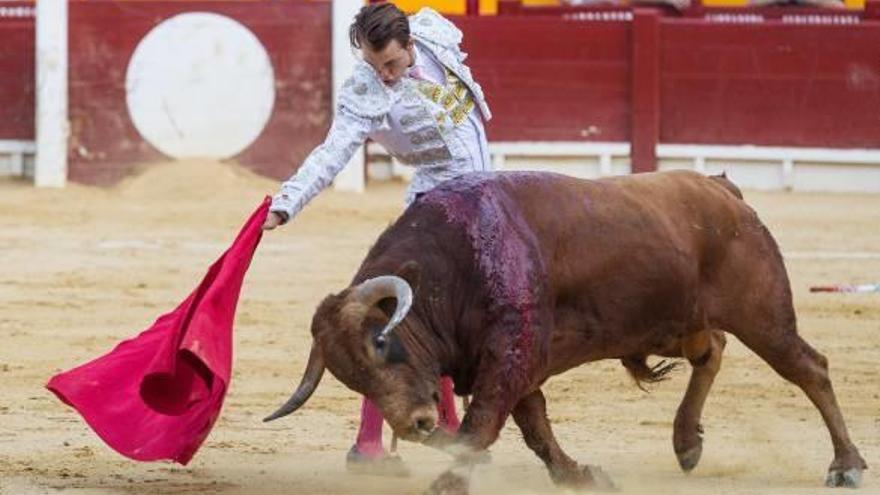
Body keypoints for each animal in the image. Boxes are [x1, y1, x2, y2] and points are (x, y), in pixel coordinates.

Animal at [262, 170, 868, 492]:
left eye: (383, 342)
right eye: (351, 378)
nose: (416, 424)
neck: (449, 270)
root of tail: (724, 193)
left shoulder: (511, 354)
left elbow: (483, 424)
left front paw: (451, 481)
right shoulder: (519, 361)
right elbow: (534, 425)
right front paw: (580, 473)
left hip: (763, 315)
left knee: (809, 369)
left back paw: (846, 465)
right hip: (674, 322)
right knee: (711, 352)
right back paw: (686, 442)